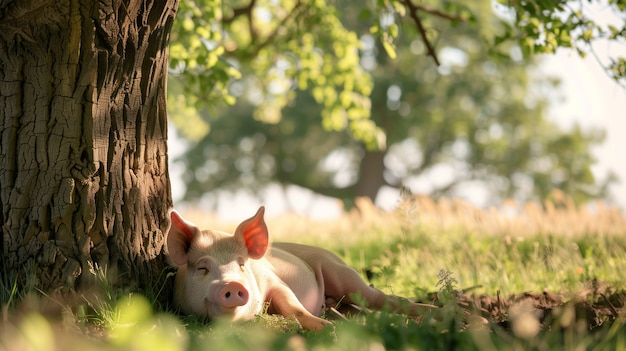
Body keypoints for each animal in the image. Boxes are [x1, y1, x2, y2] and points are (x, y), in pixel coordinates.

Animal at [166, 206, 434, 330]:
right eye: (202, 268)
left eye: (242, 264)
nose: (231, 285)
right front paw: (332, 328)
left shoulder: (274, 280)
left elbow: (293, 306)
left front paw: (329, 330)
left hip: (342, 273)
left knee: (383, 298)